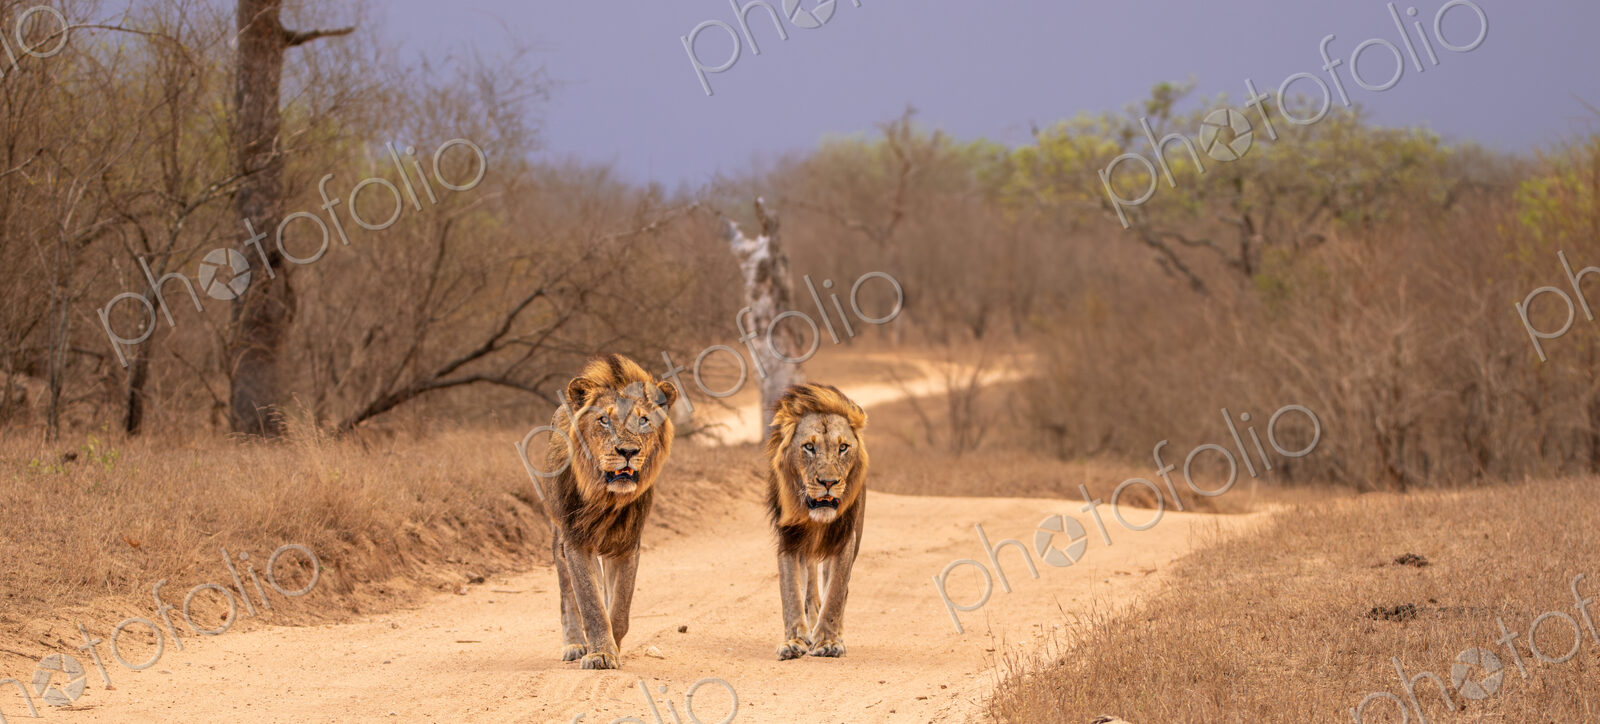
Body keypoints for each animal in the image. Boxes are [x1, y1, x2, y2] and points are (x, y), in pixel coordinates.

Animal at [543, 354, 678, 670]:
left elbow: (619, 608)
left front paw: (612, 646)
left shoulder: (627, 545)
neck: (606, 497)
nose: (627, 451)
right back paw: (574, 644)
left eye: (643, 420)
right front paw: (600, 653)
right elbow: (590, 604)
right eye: (604, 419)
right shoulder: (576, 541)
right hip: (558, 539)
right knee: (567, 596)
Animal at [764, 383, 869, 660]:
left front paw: (829, 642)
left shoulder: (845, 538)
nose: (828, 482)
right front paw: (794, 640)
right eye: (809, 447)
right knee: (810, 584)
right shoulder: (788, 537)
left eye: (843, 447)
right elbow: (791, 591)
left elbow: (836, 591)